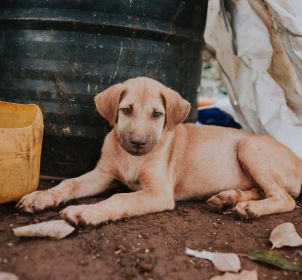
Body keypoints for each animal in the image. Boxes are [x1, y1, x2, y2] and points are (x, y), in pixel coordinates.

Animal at [16, 77, 302, 226]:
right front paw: (40, 197)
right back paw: (230, 198)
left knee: (284, 198)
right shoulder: (103, 175)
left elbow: (119, 199)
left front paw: (85, 212)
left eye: (157, 115)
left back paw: (249, 208)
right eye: (126, 110)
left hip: (247, 146)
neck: (132, 158)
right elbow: (69, 184)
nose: (138, 142)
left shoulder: (158, 192)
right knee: (265, 191)